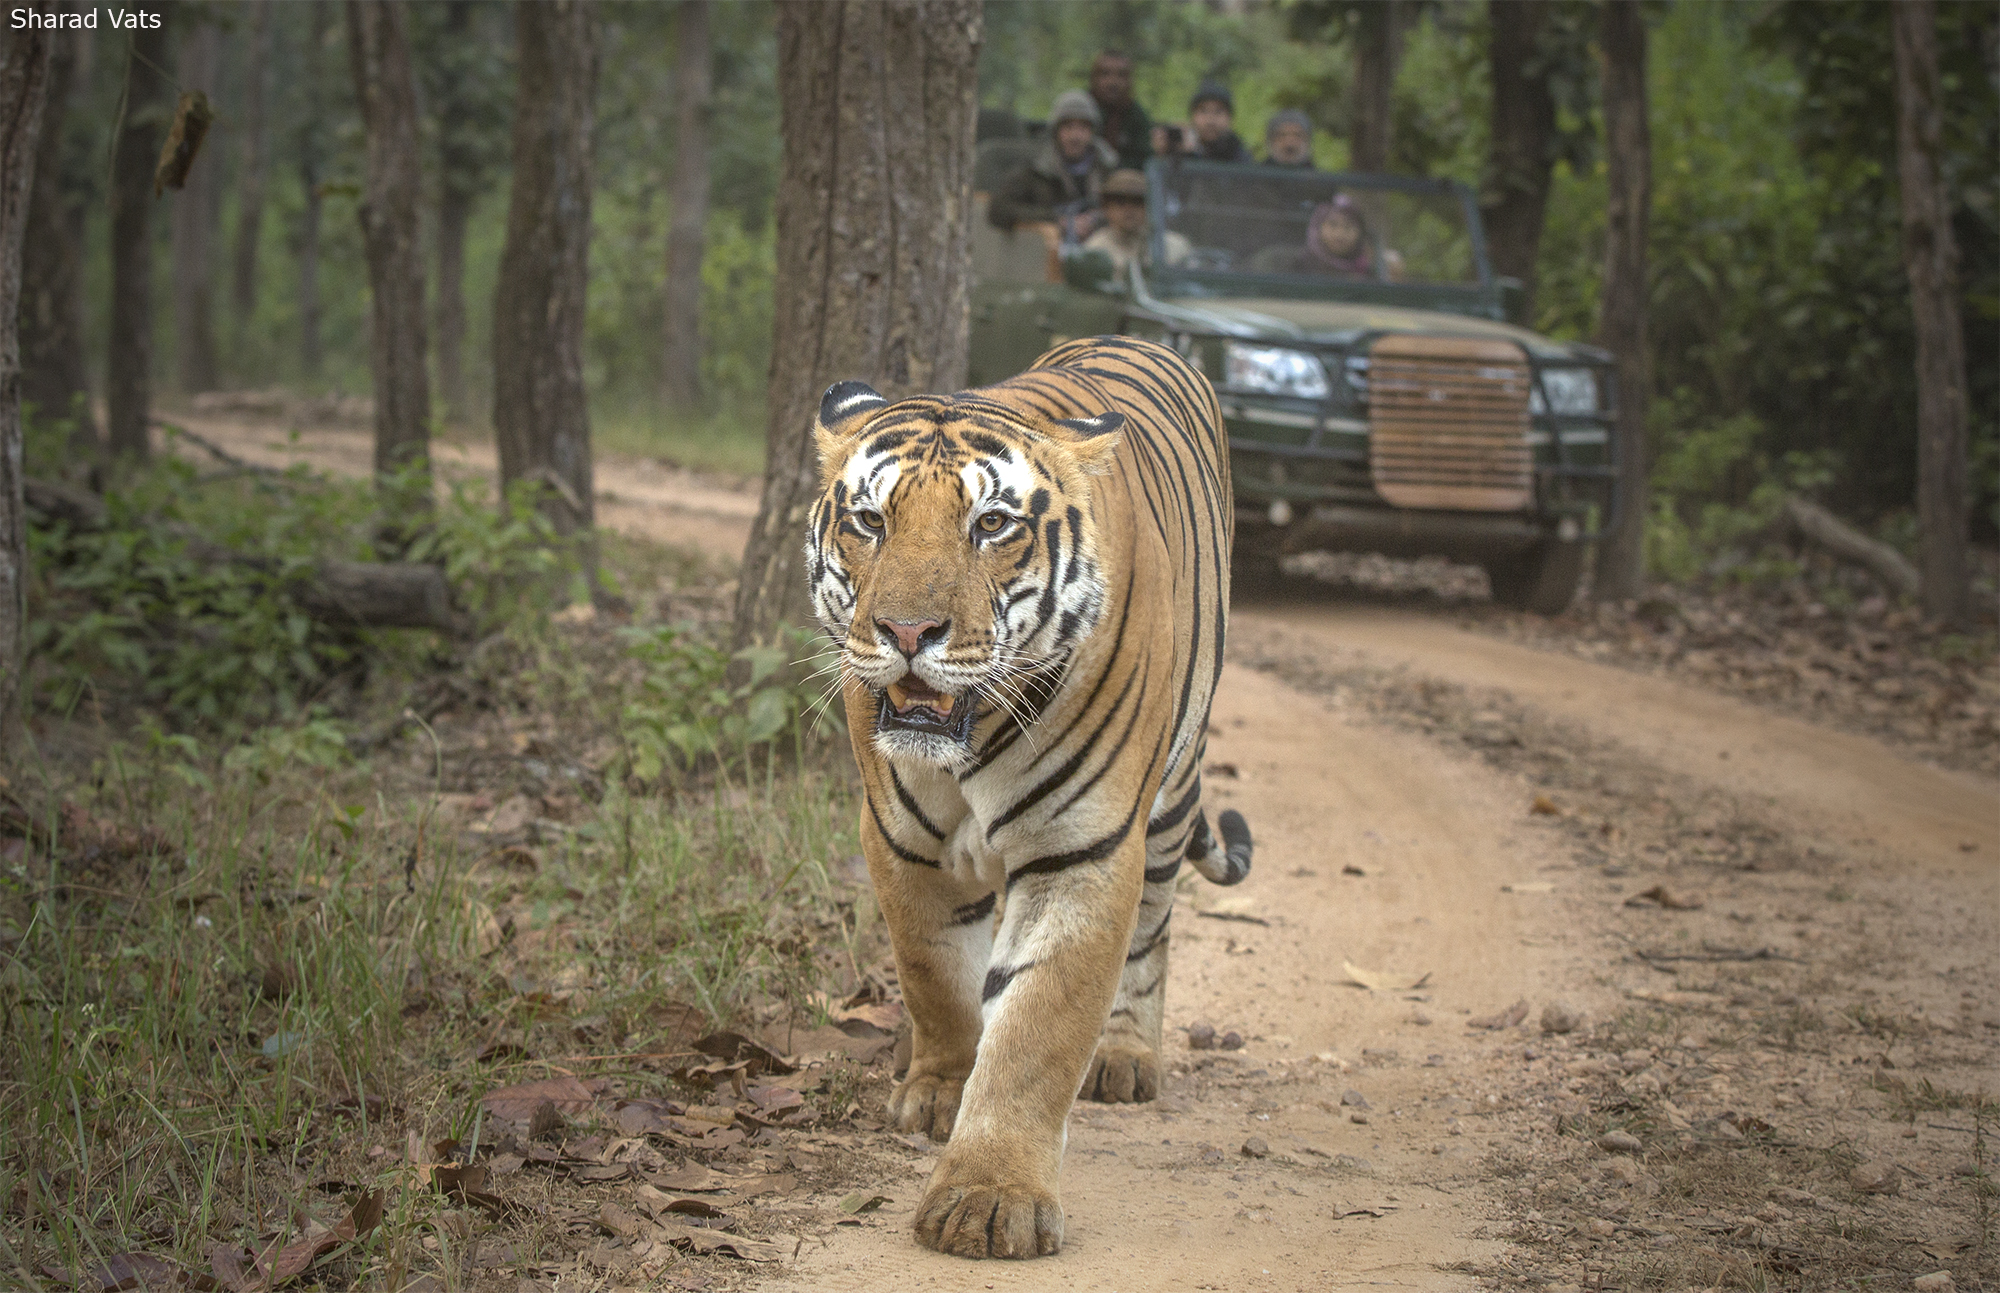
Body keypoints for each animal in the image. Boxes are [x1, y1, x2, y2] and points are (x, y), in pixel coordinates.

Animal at [805, 334, 1253, 1260]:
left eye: (991, 525)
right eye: (871, 521)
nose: (907, 632)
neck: (969, 742)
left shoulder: (1081, 851)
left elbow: (1038, 1026)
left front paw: (988, 1197)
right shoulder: (901, 840)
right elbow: (935, 974)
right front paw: (939, 1091)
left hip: (1170, 803)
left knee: (1155, 927)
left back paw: (1126, 1056)